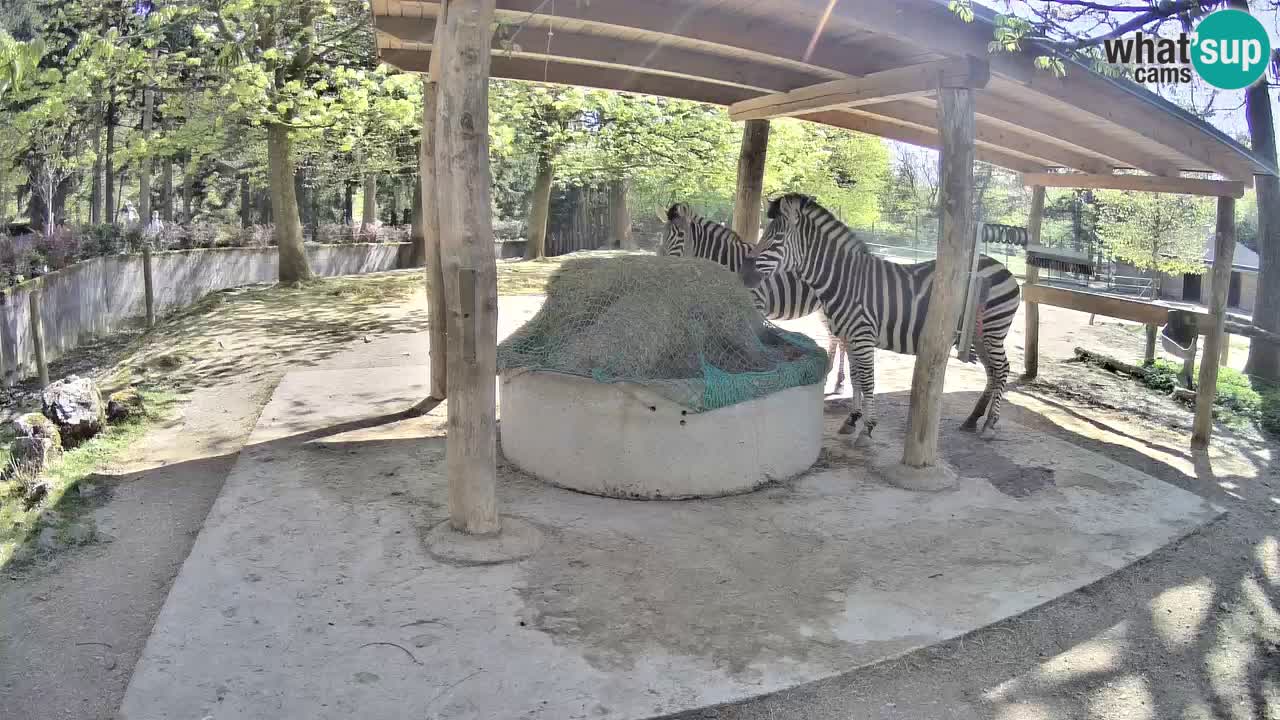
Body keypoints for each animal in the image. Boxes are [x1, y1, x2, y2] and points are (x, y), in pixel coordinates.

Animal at [661, 203, 850, 392]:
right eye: (662, 236)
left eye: (680, 235)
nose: (662, 266)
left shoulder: (754, 302)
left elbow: (750, 335)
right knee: (835, 337)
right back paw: (830, 371)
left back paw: (838, 380)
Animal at [740, 193, 1021, 440]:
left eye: (776, 237)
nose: (743, 274)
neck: (845, 281)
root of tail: (1003, 268)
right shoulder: (849, 337)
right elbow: (855, 377)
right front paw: (852, 419)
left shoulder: (862, 336)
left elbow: (868, 380)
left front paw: (868, 428)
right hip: (979, 337)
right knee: (992, 372)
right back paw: (973, 419)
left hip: (993, 331)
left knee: (1002, 369)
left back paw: (990, 425)